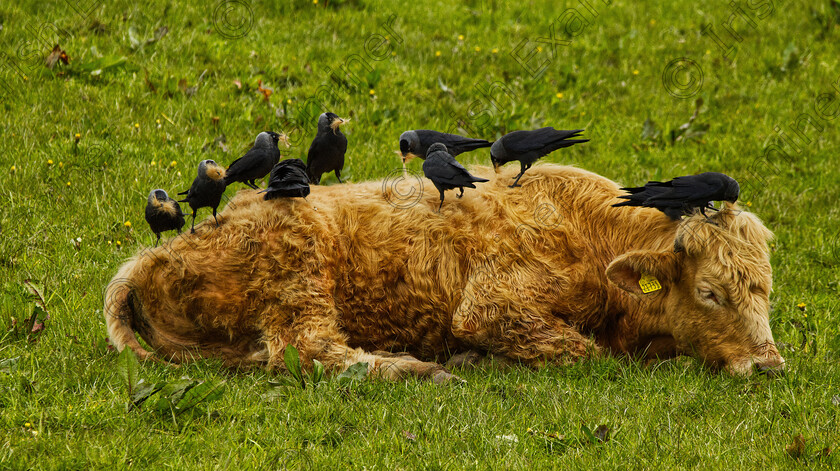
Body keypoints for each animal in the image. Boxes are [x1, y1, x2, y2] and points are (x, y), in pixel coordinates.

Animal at [105, 165, 788, 380]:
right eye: (709, 292)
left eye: (766, 290)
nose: (770, 366)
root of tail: (150, 257)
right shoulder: (490, 306)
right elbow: (585, 352)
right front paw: (472, 358)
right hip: (300, 280)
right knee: (307, 350)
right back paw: (419, 369)